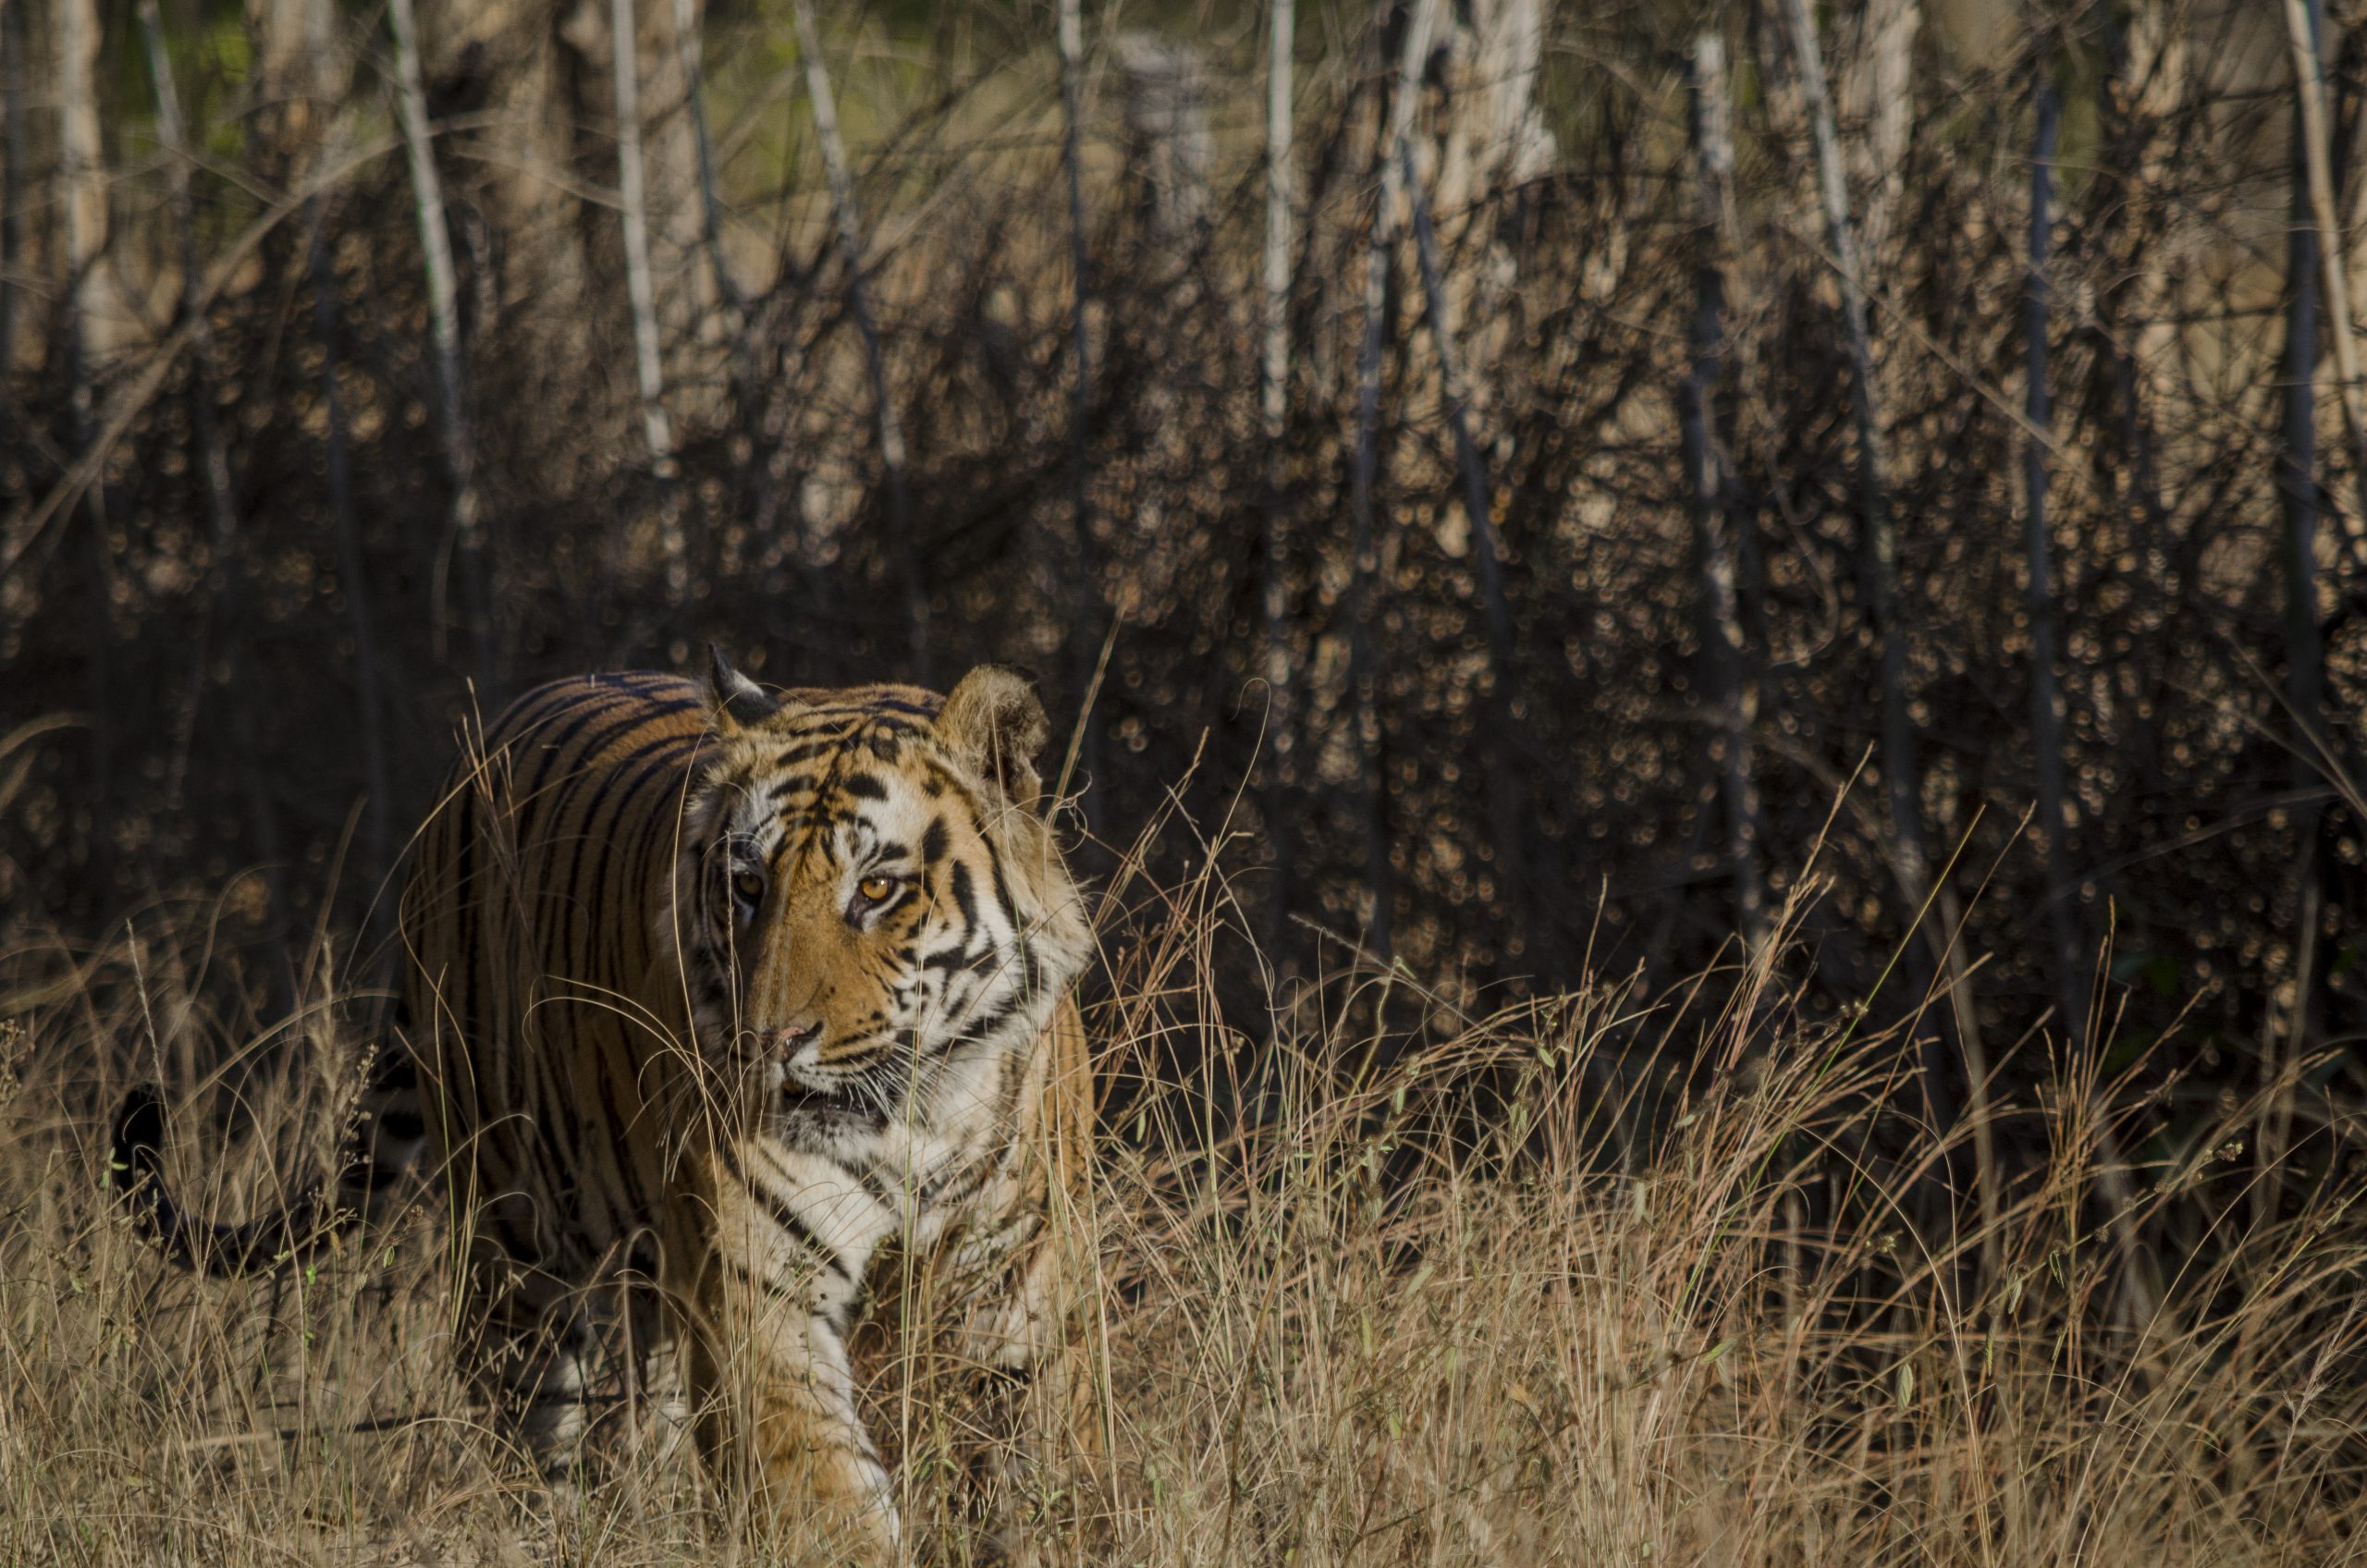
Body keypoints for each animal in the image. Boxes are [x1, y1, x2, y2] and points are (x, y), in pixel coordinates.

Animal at [111, 654, 1098, 1562]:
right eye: (747, 886)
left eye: (879, 889)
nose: (766, 1042)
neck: (916, 1114)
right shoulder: (755, 1294)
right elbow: (826, 1501)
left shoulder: (1016, 1282)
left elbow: (1028, 1474)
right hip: (518, 1244)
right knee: (537, 1433)